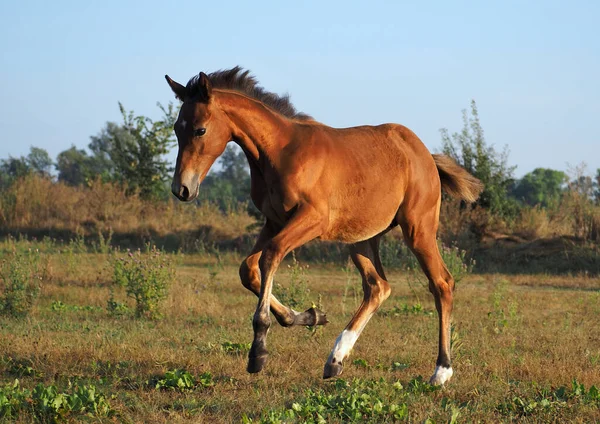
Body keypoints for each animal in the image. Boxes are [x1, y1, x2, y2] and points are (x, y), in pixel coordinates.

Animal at [164, 66, 482, 384]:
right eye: (177, 129)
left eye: (200, 130)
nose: (182, 189)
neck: (280, 152)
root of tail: (425, 155)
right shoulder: (274, 220)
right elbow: (248, 269)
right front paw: (307, 316)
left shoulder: (313, 219)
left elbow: (271, 255)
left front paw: (259, 351)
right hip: (362, 237)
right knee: (378, 286)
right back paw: (335, 359)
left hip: (418, 228)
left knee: (441, 283)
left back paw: (441, 370)